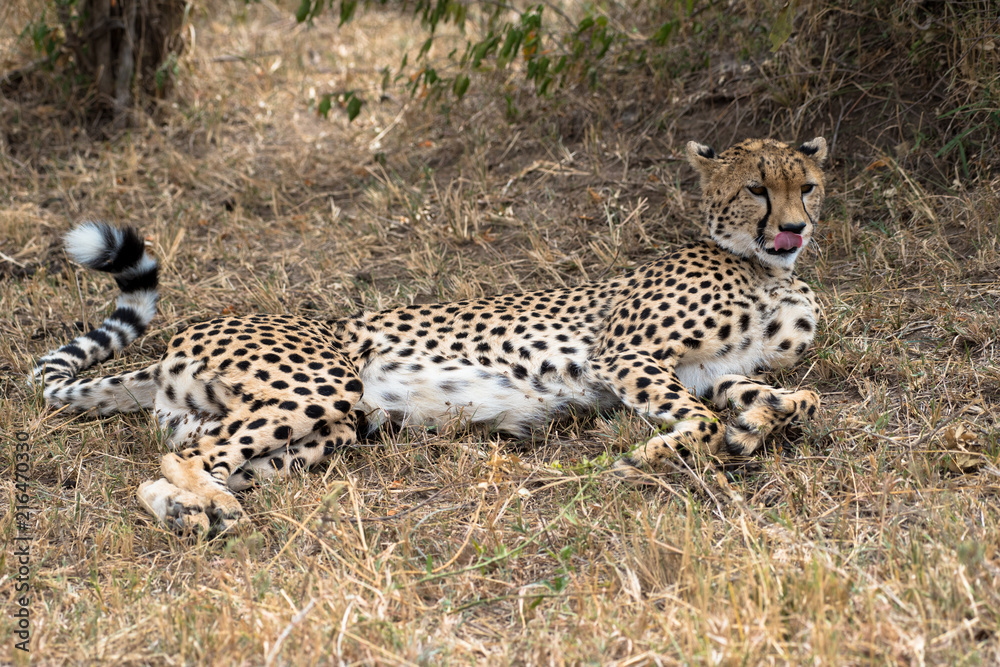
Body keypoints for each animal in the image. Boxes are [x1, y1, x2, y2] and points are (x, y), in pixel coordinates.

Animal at [32, 136, 828, 536]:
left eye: (809, 185)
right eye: (756, 188)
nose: (794, 228)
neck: (765, 268)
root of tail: (184, 335)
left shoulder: (705, 371)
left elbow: (793, 398)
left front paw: (756, 425)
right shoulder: (626, 352)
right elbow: (696, 421)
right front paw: (653, 455)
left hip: (326, 429)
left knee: (174, 468)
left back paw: (195, 512)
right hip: (322, 384)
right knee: (188, 456)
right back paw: (214, 509)